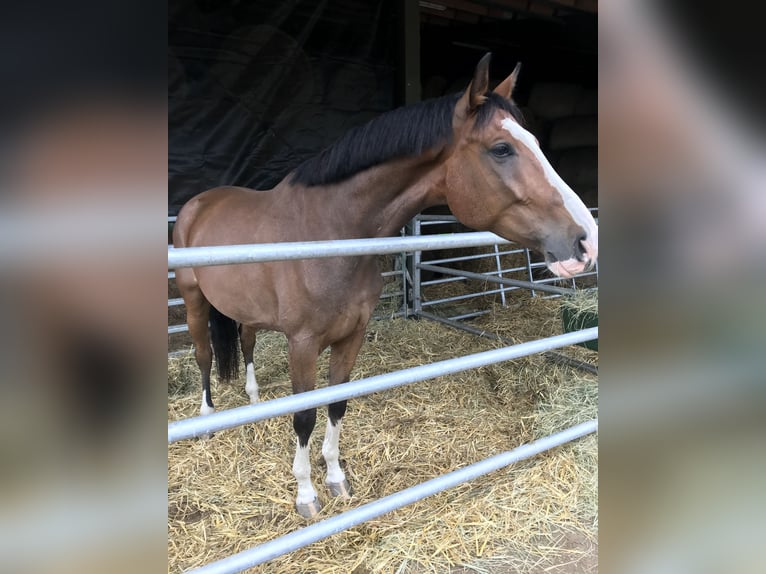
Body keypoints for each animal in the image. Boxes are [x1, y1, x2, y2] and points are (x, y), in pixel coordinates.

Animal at [174, 54, 600, 520]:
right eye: (502, 149)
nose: (586, 240)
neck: (329, 232)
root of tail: (198, 202)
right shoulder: (301, 344)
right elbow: (303, 416)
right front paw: (306, 495)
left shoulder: (352, 336)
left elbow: (337, 404)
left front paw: (336, 478)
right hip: (194, 300)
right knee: (202, 354)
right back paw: (206, 420)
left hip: (245, 309)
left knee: (246, 341)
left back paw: (251, 402)